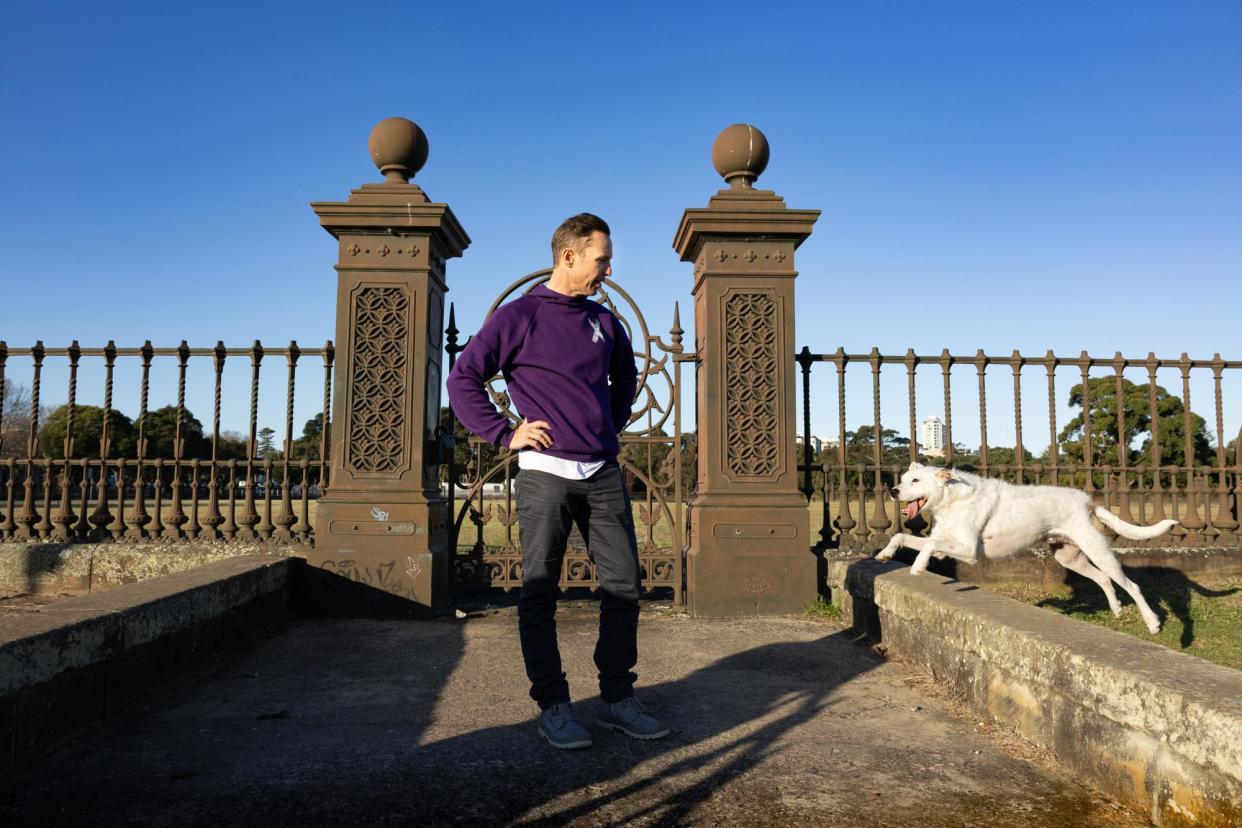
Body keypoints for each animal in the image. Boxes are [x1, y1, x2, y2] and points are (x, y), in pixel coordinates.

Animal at [874, 464, 1172, 630]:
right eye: (903, 478)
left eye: (916, 481)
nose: (893, 491)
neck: (952, 499)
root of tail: (1087, 501)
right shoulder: (945, 544)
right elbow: (902, 537)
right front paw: (886, 553)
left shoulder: (968, 550)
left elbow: (929, 545)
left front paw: (918, 566)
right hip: (1070, 558)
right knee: (1104, 580)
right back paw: (1116, 608)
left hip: (1098, 552)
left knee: (1132, 586)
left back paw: (1152, 623)